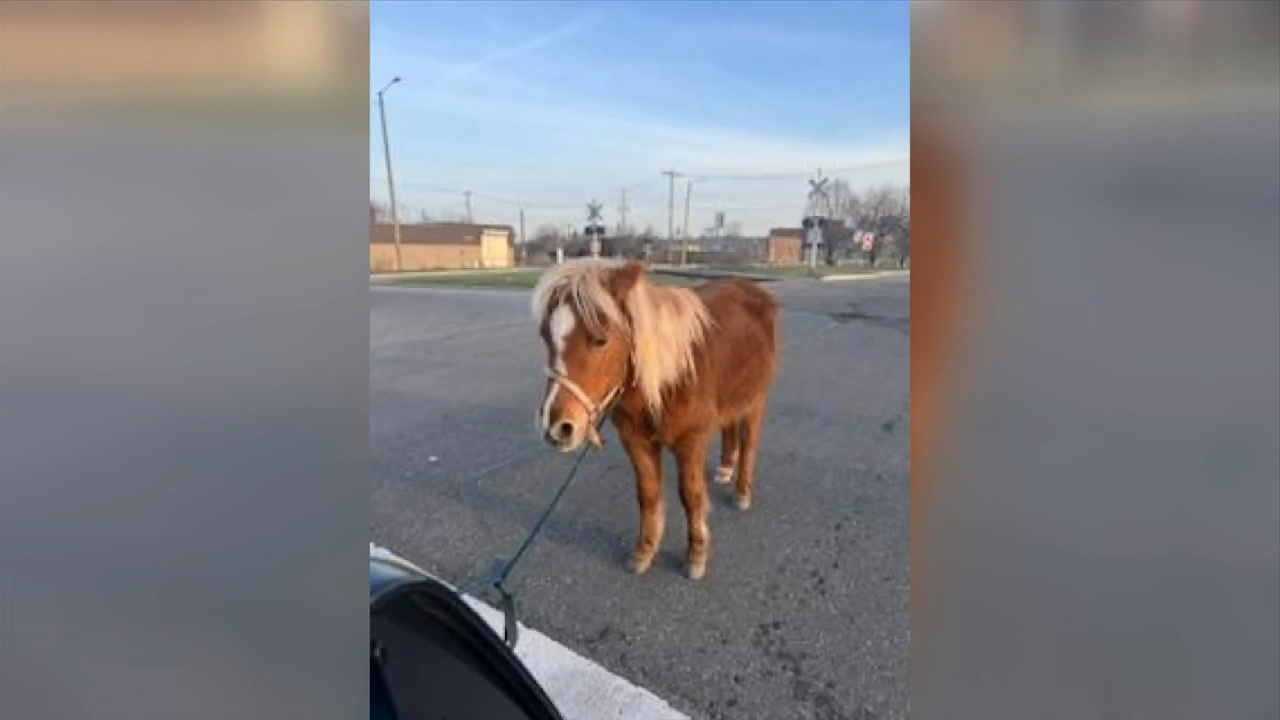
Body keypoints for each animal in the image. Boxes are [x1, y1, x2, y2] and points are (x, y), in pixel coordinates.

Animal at [531, 259, 779, 579]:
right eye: (545, 337)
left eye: (600, 340)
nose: (558, 427)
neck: (668, 379)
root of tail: (753, 289)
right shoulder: (635, 441)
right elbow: (647, 494)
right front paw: (644, 551)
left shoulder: (690, 442)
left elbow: (691, 495)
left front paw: (696, 556)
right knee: (728, 429)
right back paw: (725, 469)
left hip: (755, 402)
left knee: (749, 443)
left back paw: (742, 493)